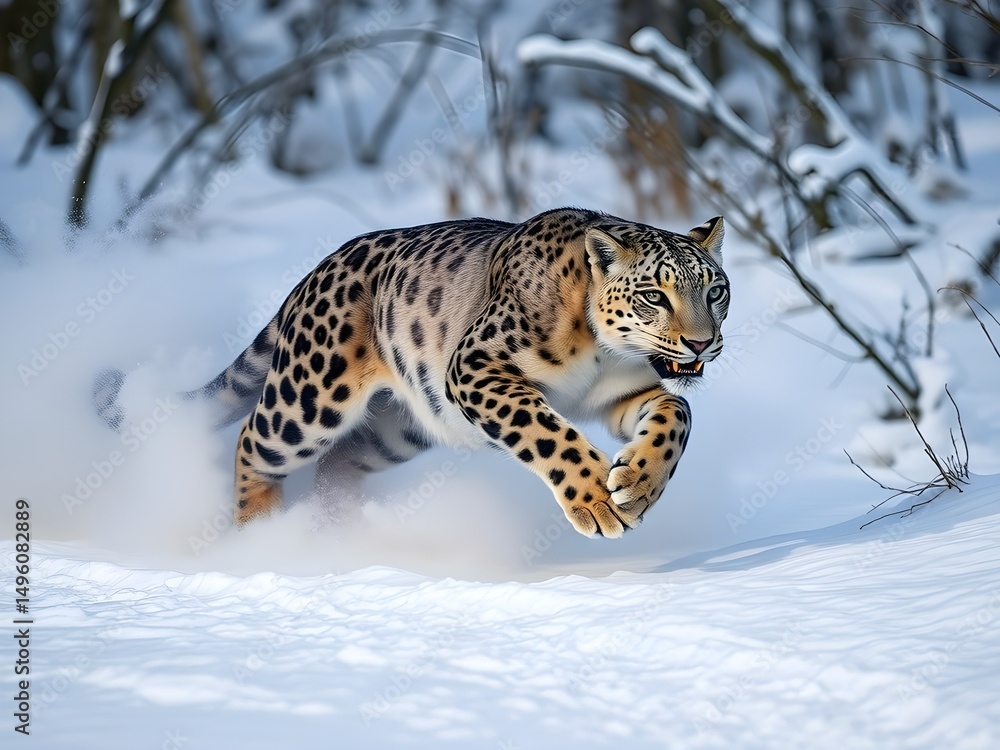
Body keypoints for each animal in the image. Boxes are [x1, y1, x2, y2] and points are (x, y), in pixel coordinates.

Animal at [97, 208, 729, 538]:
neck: (603, 350)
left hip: (401, 428)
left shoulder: (628, 394)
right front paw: (596, 498)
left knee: (340, 462)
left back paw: (341, 530)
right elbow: (547, 432)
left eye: (716, 291)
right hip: (310, 399)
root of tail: (314, 272)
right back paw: (263, 536)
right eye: (654, 295)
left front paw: (637, 486)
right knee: (254, 440)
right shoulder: (476, 368)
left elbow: (678, 413)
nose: (702, 341)